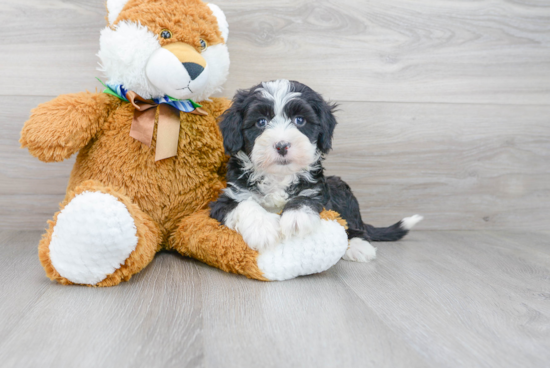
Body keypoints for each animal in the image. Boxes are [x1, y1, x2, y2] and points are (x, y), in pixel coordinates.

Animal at [210, 80, 422, 262]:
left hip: (339, 187)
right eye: (261, 122)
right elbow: (245, 204)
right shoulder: (225, 199)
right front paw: (262, 228)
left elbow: (307, 197)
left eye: (300, 120)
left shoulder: (317, 189)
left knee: (354, 225)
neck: (279, 177)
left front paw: (296, 217)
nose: (282, 145)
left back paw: (358, 245)